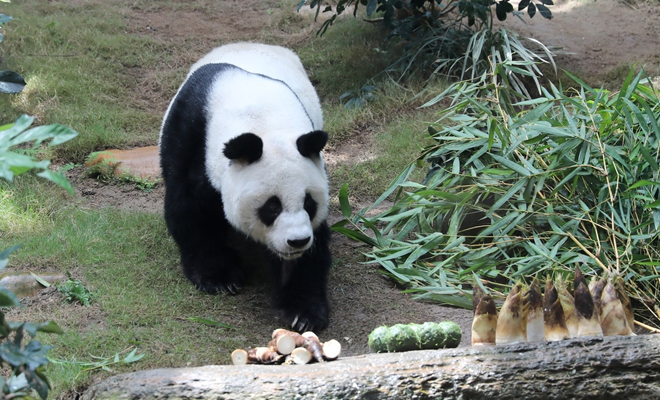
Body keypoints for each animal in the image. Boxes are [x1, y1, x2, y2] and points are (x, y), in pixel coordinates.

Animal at [159, 42, 332, 332]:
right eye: (272, 206)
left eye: (309, 203)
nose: (297, 240)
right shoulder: (191, 137)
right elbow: (191, 209)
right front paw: (219, 277)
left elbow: (312, 248)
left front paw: (302, 311)